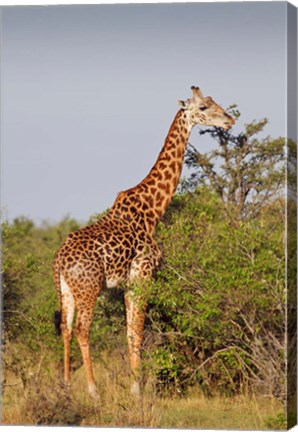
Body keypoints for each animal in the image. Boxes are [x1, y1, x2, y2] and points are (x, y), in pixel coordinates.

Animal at [53, 85, 235, 398]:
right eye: (202, 107)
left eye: (215, 102)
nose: (229, 120)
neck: (153, 209)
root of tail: (61, 261)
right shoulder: (143, 274)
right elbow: (137, 331)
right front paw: (137, 389)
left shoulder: (128, 281)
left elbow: (129, 331)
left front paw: (134, 384)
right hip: (89, 288)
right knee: (82, 330)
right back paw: (93, 390)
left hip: (65, 289)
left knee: (65, 329)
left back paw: (66, 387)